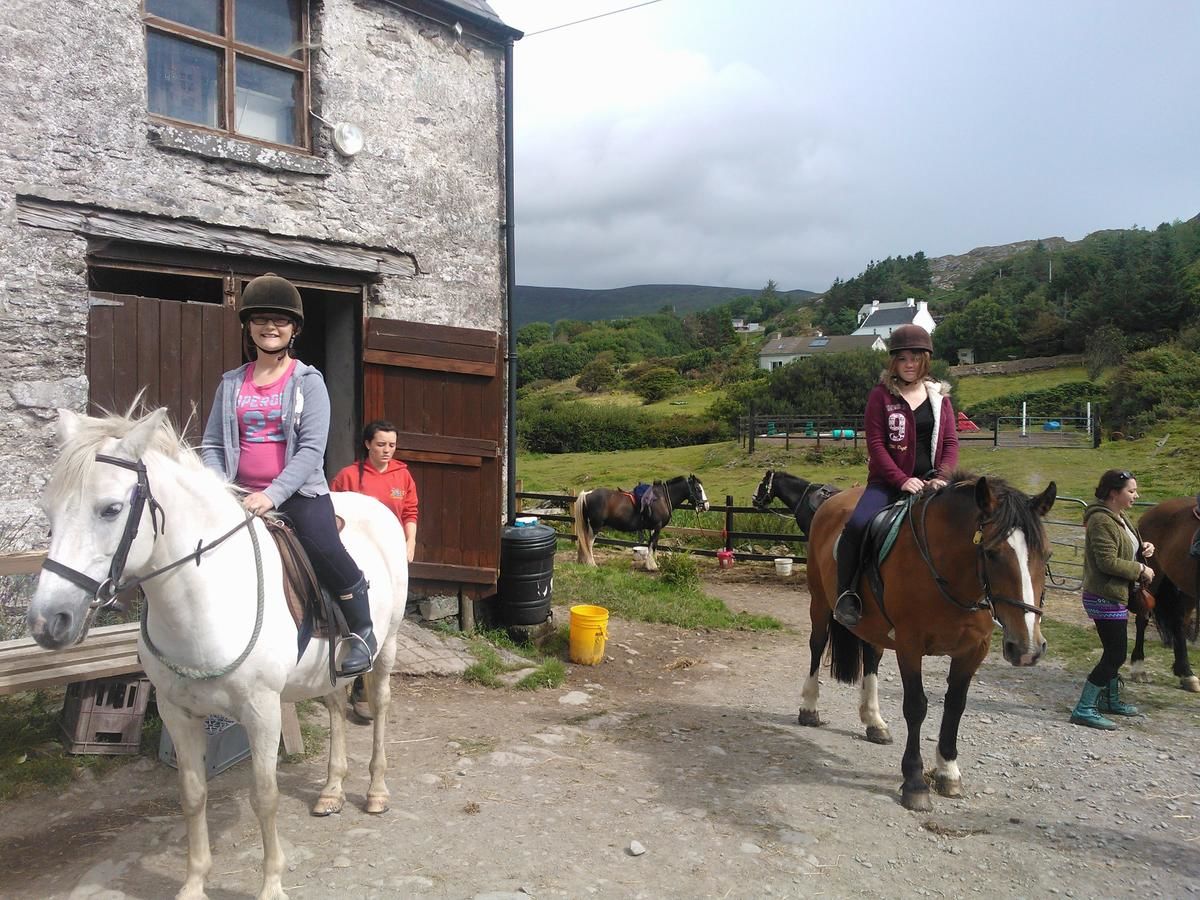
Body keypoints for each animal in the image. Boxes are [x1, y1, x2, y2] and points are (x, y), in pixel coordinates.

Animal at [27, 410, 408, 900]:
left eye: (110, 509)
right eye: (49, 510)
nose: (47, 621)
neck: (205, 597)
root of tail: (375, 506)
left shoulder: (262, 711)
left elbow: (264, 796)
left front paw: (271, 885)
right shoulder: (176, 711)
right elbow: (192, 794)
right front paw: (193, 883)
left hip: (386, 647)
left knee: (378, 706)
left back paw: (376, 791)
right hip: (327, 669)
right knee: (336, 706)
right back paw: (331, 791)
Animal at [573, 475, 705, 573]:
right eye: (698, 489)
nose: (706, 505)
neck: (661, 498)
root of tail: (587, 494)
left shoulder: (653, 528)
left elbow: (653, 545)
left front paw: (653, 563)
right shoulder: (657, 527)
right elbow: (652, 545)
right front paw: (652, 566)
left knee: (583, 542)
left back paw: (582, 562)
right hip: (595, 527)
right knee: (589, 543)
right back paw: (592, 564)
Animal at [801, 475, 1056, 816]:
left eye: (1047, 555)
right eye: (991, 553)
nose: (1027, 649)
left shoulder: (974, 649)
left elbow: (955, 706)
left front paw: (948, 771)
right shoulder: (910, 644)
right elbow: (916, 706)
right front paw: (915, 783)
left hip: (874, 625)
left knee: (872, 658)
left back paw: (874, 722)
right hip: (819, 602)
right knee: (816, 647)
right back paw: (809, 708)